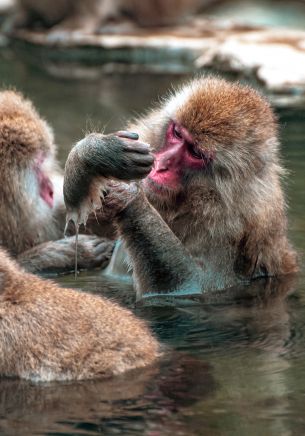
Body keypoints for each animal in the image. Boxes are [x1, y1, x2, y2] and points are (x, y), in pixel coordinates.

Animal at [63, 76, 298, 298]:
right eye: (177, 133)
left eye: (195, 152)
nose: (160, 165)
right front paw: (95, 153)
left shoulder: (233, 228)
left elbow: (191, 285)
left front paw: (129, 196)